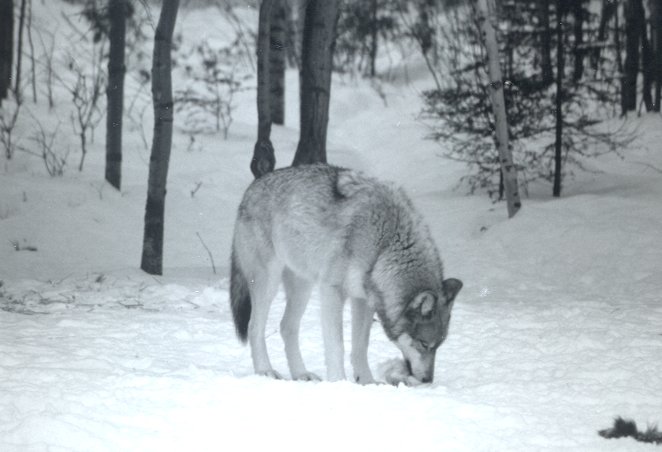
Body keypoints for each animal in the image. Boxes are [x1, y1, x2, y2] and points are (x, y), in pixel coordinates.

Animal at [229, 163, 462, 384]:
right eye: (424, 344)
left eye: (438, 346)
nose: (427, 380)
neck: (383, 246)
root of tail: (251, 188)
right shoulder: (332, 291)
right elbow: (337, 346)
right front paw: (339, 382)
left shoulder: (364, 300)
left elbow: (360, 347)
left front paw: (367, 382)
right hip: (268, 282)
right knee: (254, 327)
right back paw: (265, 371)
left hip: (303, 286)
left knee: (286, 327)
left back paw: (302, 374)